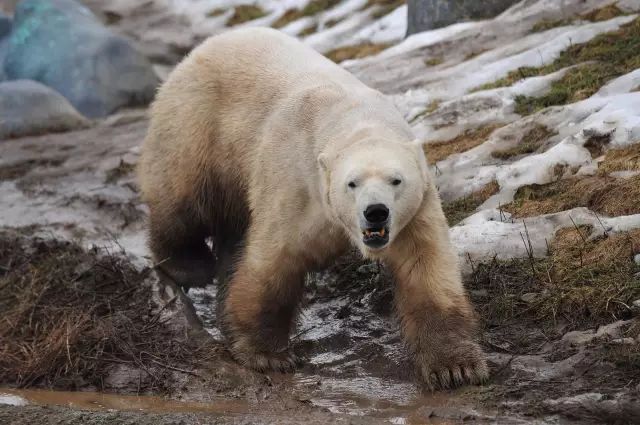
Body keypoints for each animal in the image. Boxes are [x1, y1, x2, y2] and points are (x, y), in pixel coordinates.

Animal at [138, 28, 488, 390]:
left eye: (396, 180)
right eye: (352, 183)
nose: (376, 212)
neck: (354, 118)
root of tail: (202, 48)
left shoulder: (416, 211)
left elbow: (426, 269)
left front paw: (455, 368)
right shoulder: (296, 186)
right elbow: (273, 263)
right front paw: (268, 356)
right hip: (199, 128)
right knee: (183, 201)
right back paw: (188, 266)